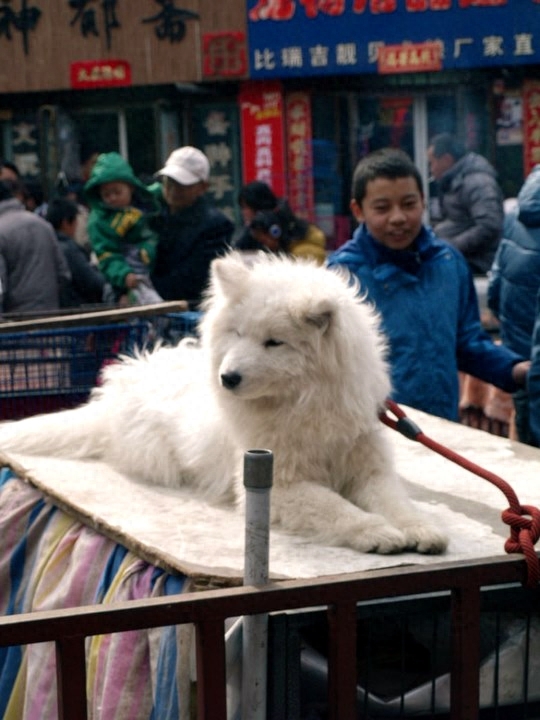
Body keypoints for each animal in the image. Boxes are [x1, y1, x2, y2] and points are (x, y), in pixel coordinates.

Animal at [0, 255, 448, 556]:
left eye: (274, 342)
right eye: (238, 333)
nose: (227, 378)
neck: (303, 406)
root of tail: (120, 385)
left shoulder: (369, 468)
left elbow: (394, 501)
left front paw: (419, 529)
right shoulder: (280, 485)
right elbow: (334, 506)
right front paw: (375, 532)